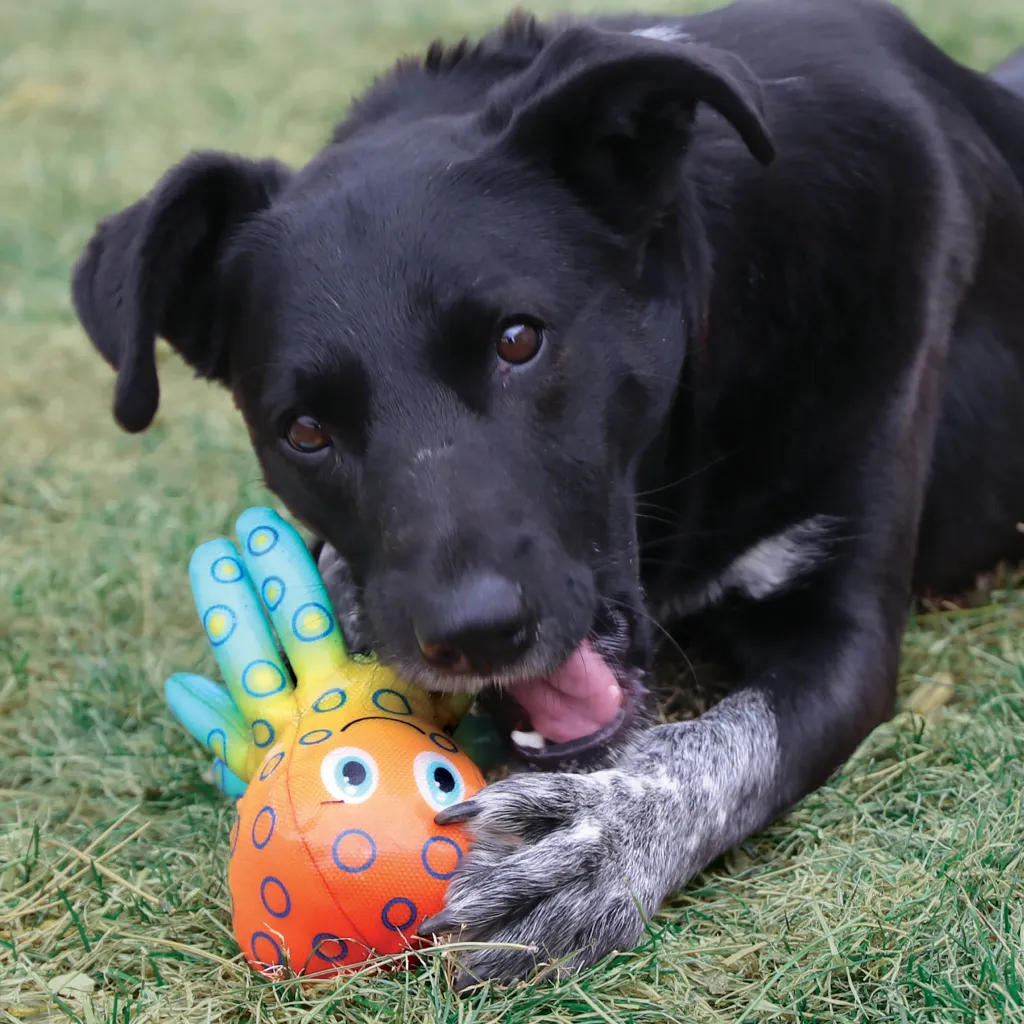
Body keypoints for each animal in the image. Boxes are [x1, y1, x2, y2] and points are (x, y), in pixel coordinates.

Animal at [72, 0, 1024, 987]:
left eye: (519, 339)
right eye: (303, 430)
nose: (472, 634)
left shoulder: (846, 633)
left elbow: (729, 743)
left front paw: (600, 840)